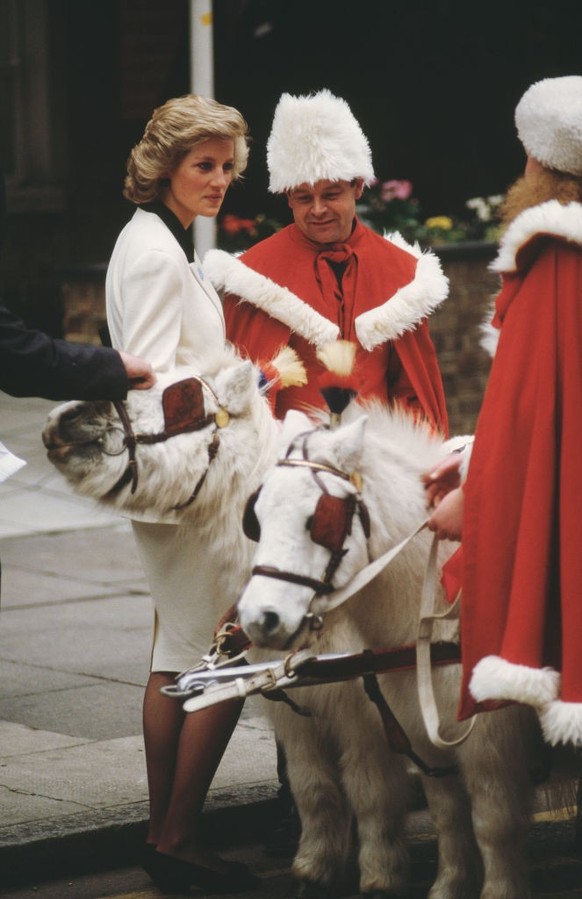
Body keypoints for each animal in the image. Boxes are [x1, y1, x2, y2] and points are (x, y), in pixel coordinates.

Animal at [238, 406, 552, 899]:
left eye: (318, 519)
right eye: (258, 517)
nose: (258, 618)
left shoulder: (491, 743)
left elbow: (493, 823)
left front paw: (499, 888)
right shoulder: (421, 735)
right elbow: (448, 816)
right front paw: (448, 886)